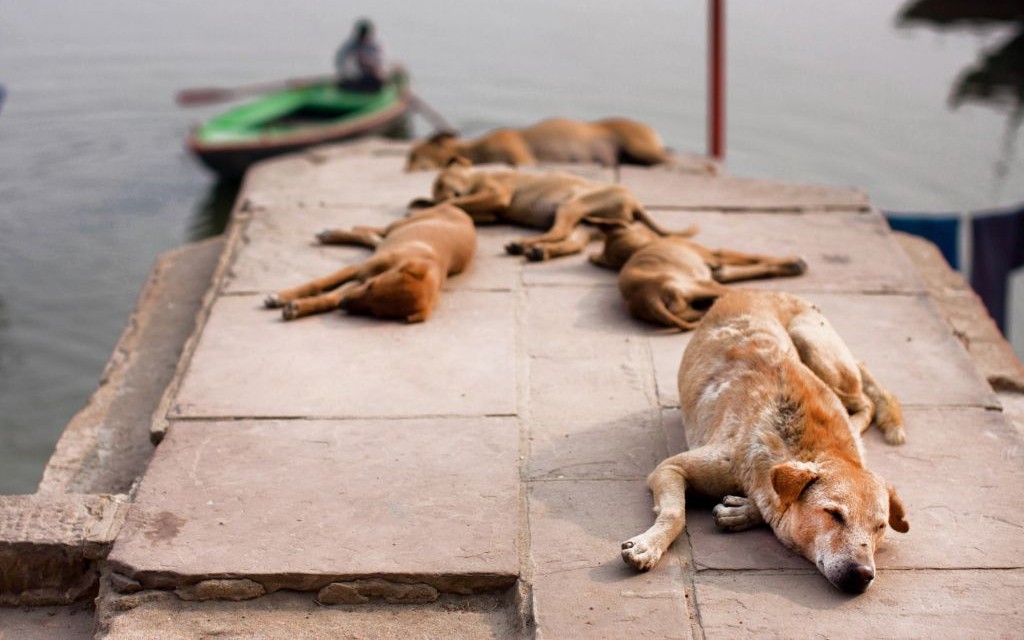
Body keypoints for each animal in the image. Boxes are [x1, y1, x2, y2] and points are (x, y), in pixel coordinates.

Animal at [262, 204, 473, 321]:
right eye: (372, 286)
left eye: (375, 312)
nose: (344, 304)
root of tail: (466, 215)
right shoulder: (358, 270)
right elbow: (316, 283)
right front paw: (281, 297)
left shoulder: (357, 283)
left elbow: (331, 297)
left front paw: (299, 308)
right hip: (401, 224)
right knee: (370, 230)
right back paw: (331, 233)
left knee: (373, 238)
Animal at [423, 163, 696, 261]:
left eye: (440, 183)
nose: (440, 197)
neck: (476, 176)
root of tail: (635, 204)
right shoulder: (489, 210)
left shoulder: (496, 194)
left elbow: (464, 201)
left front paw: (432, 206)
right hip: (586, 224)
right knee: (570, 242)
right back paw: (537, 250)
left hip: (572, 205)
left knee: (558, 233)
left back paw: (525, 244)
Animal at [593, 219, 806, 329]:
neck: (638, 248)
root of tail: (648, 298)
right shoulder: (717, 255)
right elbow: (758, 258)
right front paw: (794, 263)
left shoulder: (719, 270)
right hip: (703, 284)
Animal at [618, 292, 909, 589]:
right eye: (833, 514)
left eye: (879, 527)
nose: (863, 574)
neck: (816, 446)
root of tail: (754, 291)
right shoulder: (670, 467)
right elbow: (675, 514)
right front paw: (648, 545)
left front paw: (746, 510)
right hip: (811, 342)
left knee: (864, 397)